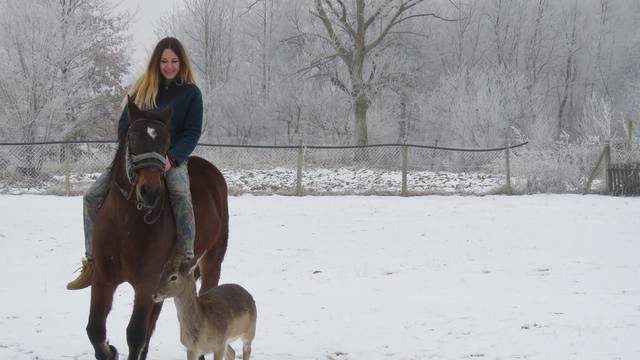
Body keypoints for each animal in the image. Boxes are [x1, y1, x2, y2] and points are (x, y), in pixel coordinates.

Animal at [85, 100, 228, 360]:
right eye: (133, 136)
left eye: (166, 140)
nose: (149, 192)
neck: (126, 222)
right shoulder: (103, 279)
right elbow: (95, 330)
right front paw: (111, 351)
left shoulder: (146, 284)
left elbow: (135, 333)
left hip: (212, 260)